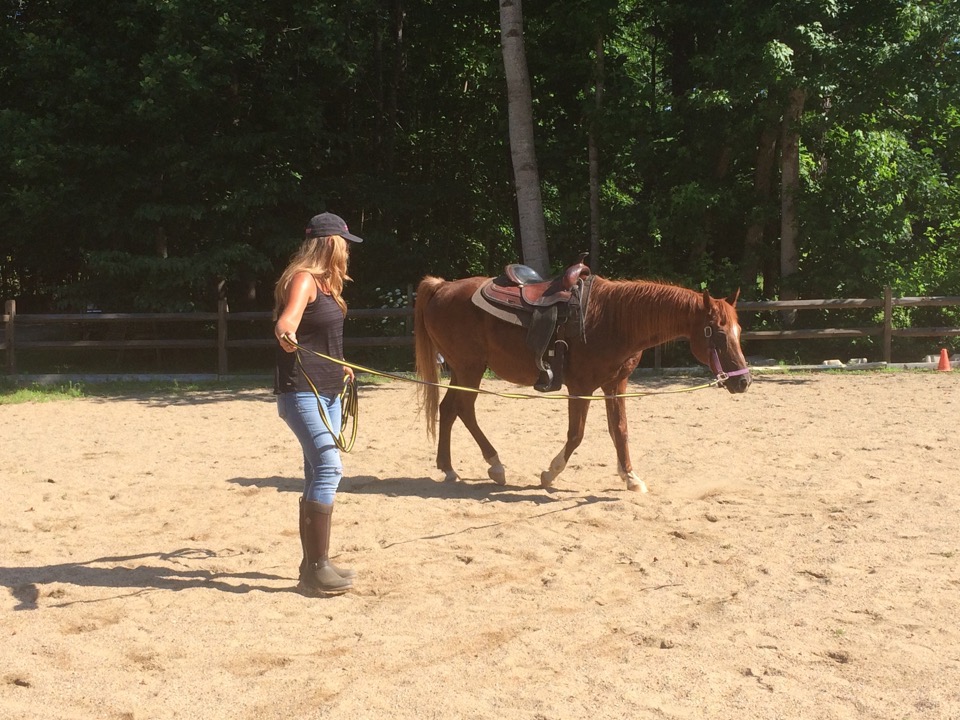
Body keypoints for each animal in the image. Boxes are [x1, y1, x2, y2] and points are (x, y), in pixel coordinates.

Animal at [412, 272, 752, 492]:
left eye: (738, 331)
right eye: (718, 334)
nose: (744, 381)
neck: (613, 319)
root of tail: (442, 287)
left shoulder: (616, 384)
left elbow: (620, 430)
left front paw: (630, 477)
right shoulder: (581, 387)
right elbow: (576, 434)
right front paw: (550, 474)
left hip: (462, 369)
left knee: (450, 409)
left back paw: (449, 468)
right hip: (470, 368)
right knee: (464, 409)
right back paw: (494, 465)